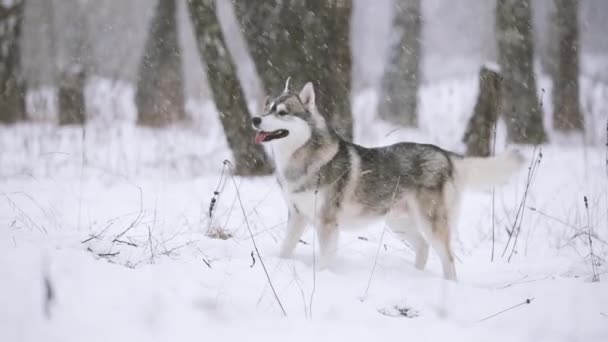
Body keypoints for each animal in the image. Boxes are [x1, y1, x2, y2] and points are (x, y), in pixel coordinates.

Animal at [249, 79, 524, 280]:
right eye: (267, 107)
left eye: (282, 112)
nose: (255, 119)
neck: (301, 159)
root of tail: (445, 154)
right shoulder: (297, 216)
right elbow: (285, 249)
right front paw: (280, 265)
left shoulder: (327, 223)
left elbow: (325, 259)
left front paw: (322, 277)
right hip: (399, 224)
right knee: (423, 248)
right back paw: (416, 277)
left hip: (430, 223)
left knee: (447, 258)